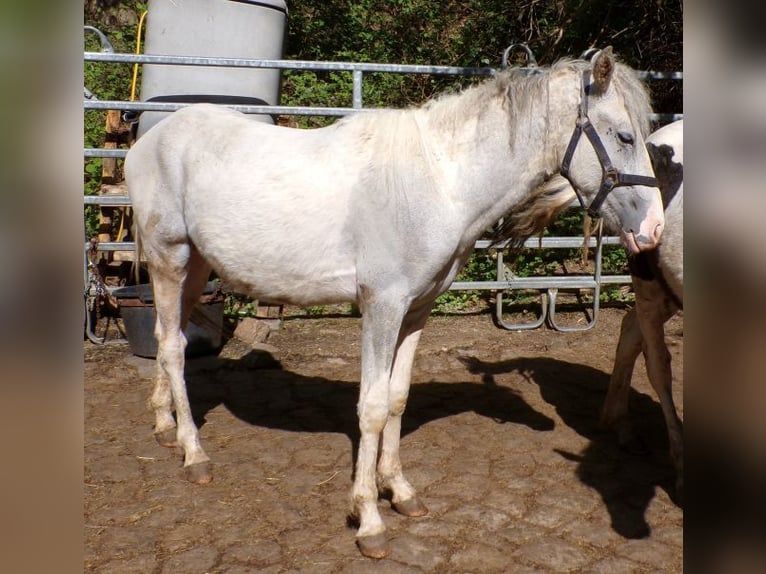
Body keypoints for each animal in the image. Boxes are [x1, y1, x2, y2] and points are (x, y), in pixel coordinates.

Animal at [124, 48, 664, 558]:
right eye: (623, 137)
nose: (655, 229)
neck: (440, 181)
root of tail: (147, 141)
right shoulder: (381, 306)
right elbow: (373, 406)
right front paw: (368, 519)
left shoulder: (417, 309)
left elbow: (398, 398)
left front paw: (400, 491)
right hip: (170, 258)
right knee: (172, 348)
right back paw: (194, 454)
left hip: (196, 266)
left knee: (168, 336)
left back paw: (164, 426)